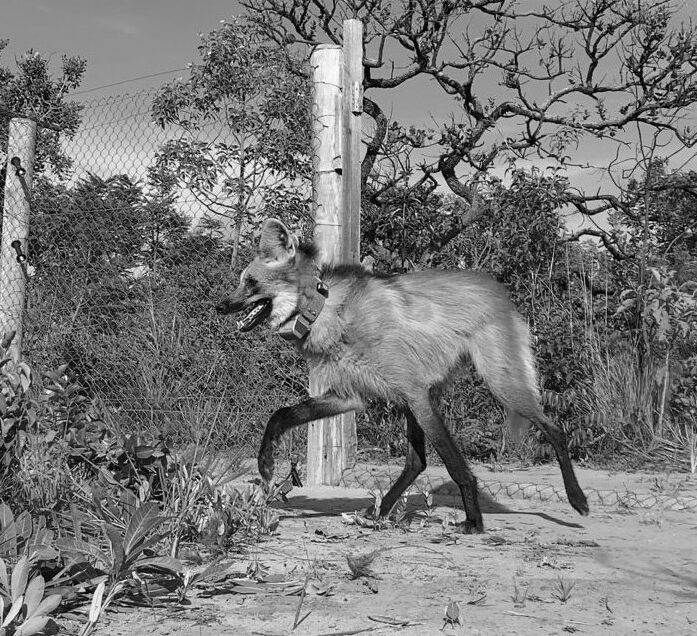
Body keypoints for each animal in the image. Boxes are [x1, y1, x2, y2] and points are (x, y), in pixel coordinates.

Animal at [216, 218, 589, 532]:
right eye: (241, 282)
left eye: (250, 283)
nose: (220, 306)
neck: (325, 311)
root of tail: (498, 288)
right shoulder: (351, 396)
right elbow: (280, 416)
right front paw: (266, 464)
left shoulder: (412, 391)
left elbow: (455, 464)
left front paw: (474, 522)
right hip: (419, 396)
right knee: (416, 461)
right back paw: (380, 513)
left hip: (494, 382)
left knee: (553, 428)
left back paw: (577, 500)